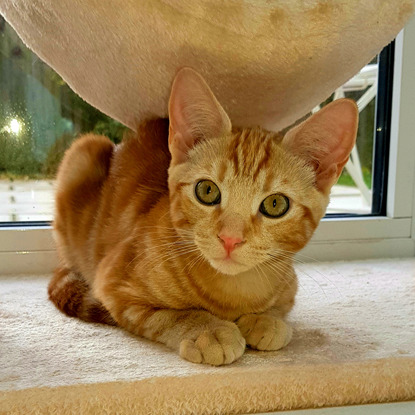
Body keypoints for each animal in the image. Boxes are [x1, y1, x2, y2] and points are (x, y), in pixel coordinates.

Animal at [48, 68, 360, 368]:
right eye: (207, 190)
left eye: (275, 204)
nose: (230, 238)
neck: (234, 292)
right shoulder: (112, 283)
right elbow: (169, 314)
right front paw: (207, 329)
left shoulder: (289, 283)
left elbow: (281, 305)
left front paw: (267, 319)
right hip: (85, 150)